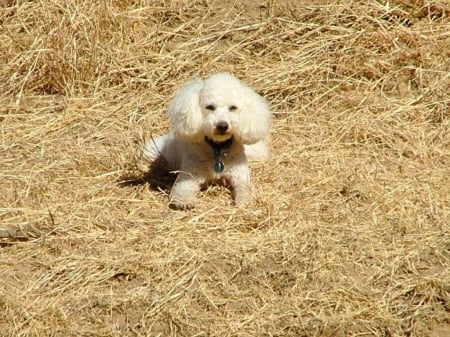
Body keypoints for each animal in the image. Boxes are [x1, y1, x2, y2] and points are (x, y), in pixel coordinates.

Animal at [143, 72, 270, 209]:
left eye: (233, 108)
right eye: (210, 107)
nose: (222, 126)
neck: (218, 149)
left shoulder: (241, 176)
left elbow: (245, 189)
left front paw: (245, 200)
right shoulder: (188, 177)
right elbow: (181, 192)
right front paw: (185, 202)